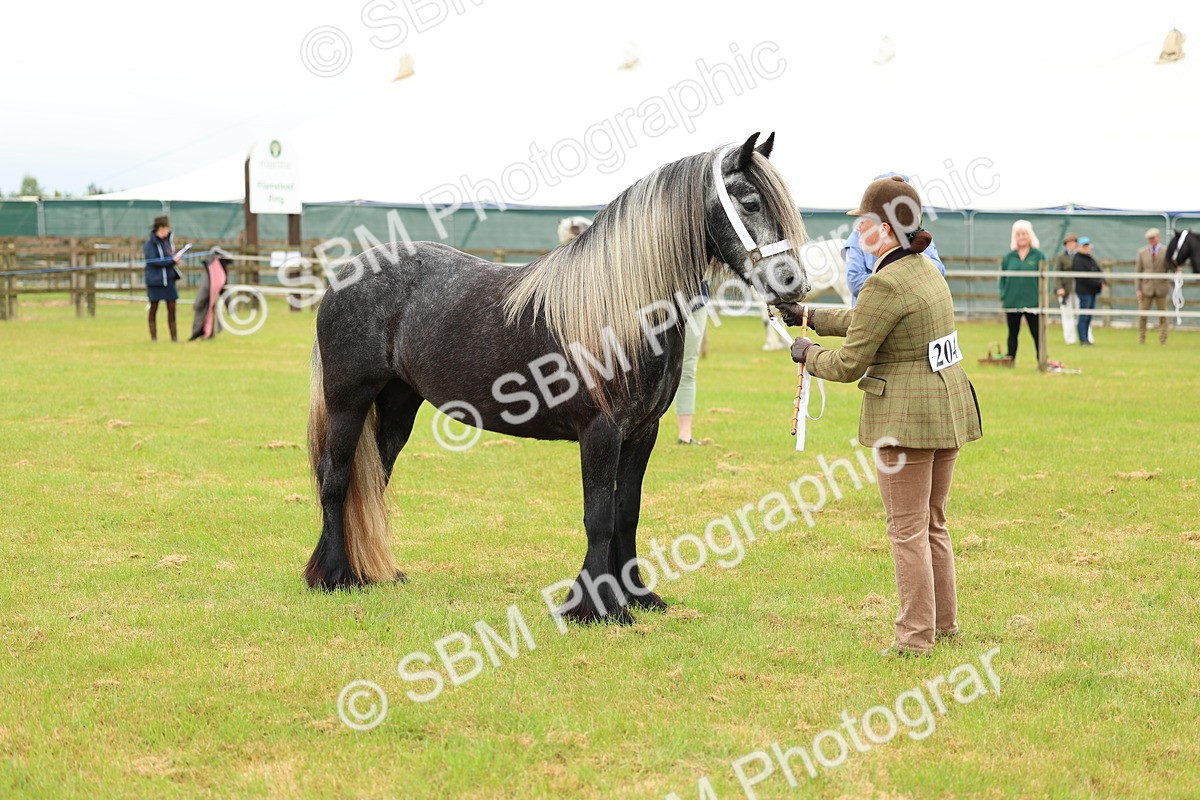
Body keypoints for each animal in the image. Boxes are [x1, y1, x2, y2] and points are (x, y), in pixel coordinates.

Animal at [304, 132, 810, 624]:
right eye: (750, 202)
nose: (794, 285)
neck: (619, 308)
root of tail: (348, 272)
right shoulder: (601, 432)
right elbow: (599, 517)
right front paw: (597, 608)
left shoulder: (642, 433)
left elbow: (627, 513)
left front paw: (638, 596)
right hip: (349, 401)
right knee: (337, 478)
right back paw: (334, 576)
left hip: (396, 407)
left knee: (372, 482)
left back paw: (369, 572)